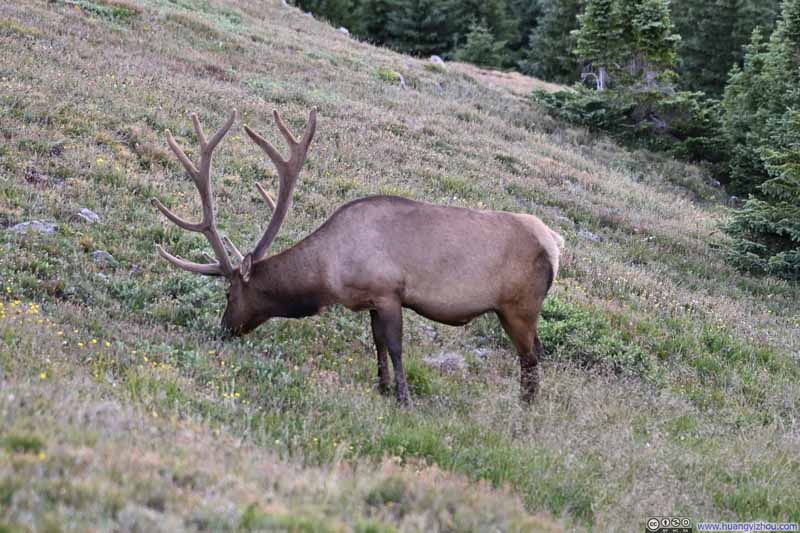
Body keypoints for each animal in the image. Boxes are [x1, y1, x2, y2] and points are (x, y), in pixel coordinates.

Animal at [152, 108, 564, 407]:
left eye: (229, 293)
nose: (223, 330)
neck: (330, 274)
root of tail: (555, 243)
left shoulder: (389, 291)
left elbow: (395, 346)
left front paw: (403, 399)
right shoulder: (371, 301)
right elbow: (377, 343)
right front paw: (381, 387)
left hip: (519, 306)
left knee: (532, 357)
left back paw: (525, 413)